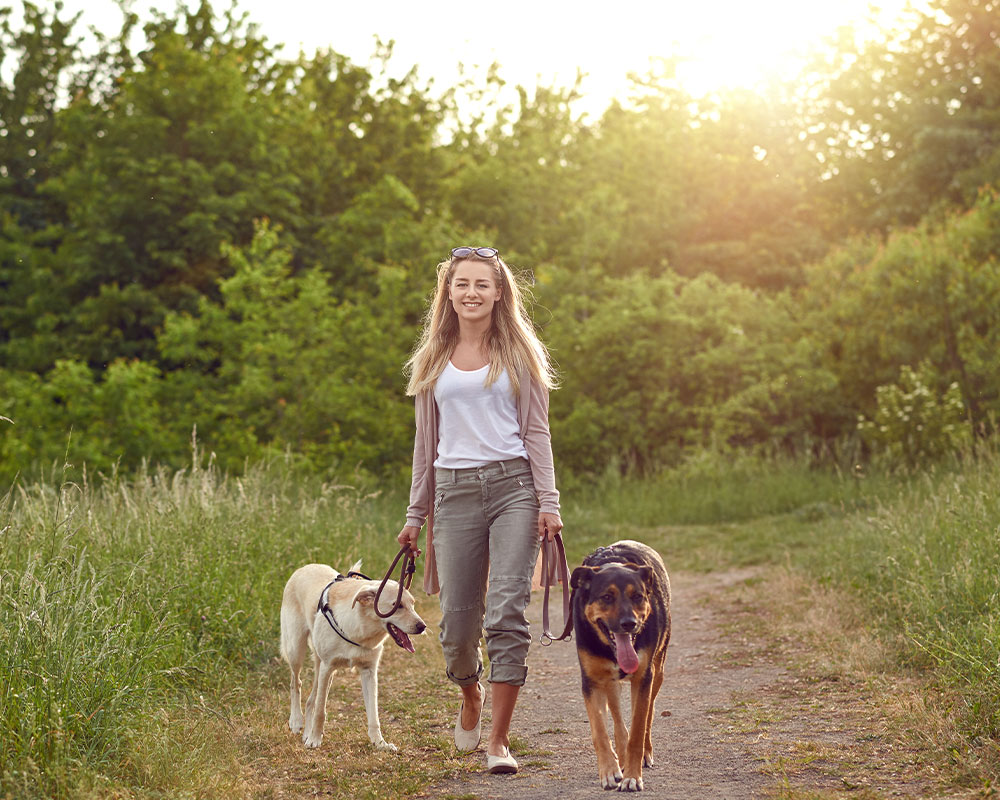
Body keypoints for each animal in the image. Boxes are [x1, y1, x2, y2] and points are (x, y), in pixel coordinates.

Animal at [278, 560, 426, 752]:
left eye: (412, 604)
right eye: (397, 606)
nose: (422, 626)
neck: (360, 629)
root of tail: (305, 567)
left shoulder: (368, 672)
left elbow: (373, 715)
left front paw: (380, 743)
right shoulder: (328, 667)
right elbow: (321, 711)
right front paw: (315, 739)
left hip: (321, 665)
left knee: (311, 699)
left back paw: (306, 733)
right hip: (297, 650)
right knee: (296, 682)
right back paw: (296, 721)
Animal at [572, 540, 672, 792]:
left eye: (637, 596)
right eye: (607, 597)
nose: (629, 623)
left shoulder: (643, 677)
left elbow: (638, 728)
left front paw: (632, 777)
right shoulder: (591, 682)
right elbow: (600, 731)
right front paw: (609, 771)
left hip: (658, 672)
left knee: (648, 714)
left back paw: (643, 753)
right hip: (608, 681)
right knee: (616, 715)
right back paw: (621, 754)